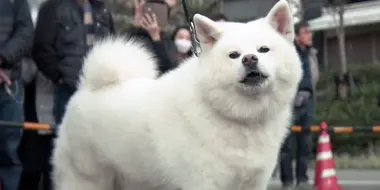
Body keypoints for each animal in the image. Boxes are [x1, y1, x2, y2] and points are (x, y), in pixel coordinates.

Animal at [52, 0, 302, 189]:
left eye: (264, 49)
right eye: (233, 55)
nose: (249, 59)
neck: (239, 117)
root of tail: (89, 87)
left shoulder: (253, 181)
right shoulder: (203, 182)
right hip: (88, 178)